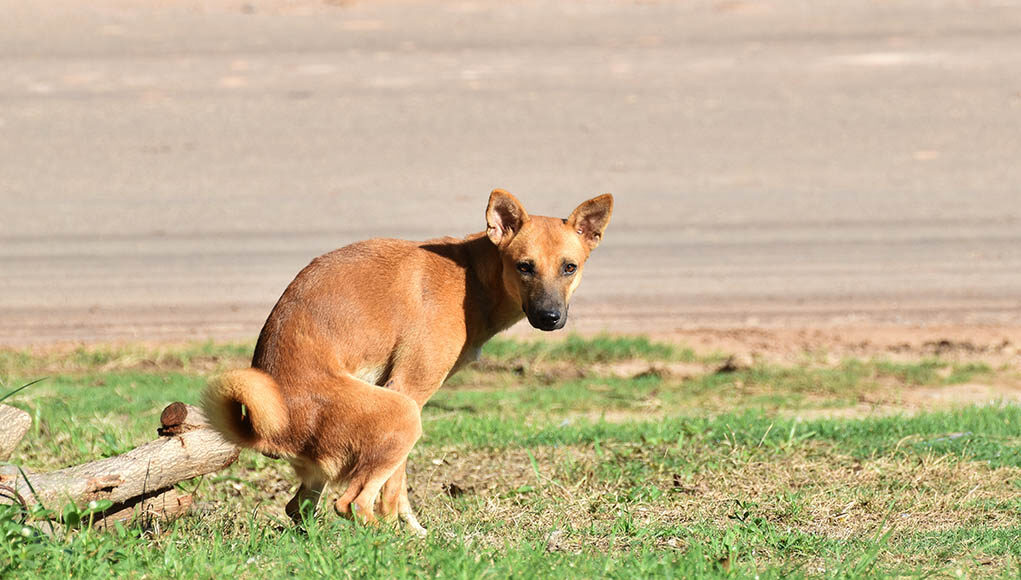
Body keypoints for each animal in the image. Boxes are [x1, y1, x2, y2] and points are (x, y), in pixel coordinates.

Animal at [203, 189, 608, 535]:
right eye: (525, 266)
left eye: (569, 267)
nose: (550, 317)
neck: (471, 277)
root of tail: (273, 428)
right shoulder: (407, 389)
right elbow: (393, 489)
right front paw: (405, 531)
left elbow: (396, 490)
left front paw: (411, 527)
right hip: (403, 415)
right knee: (350, 503)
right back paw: (388, 539)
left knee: (299, 508)